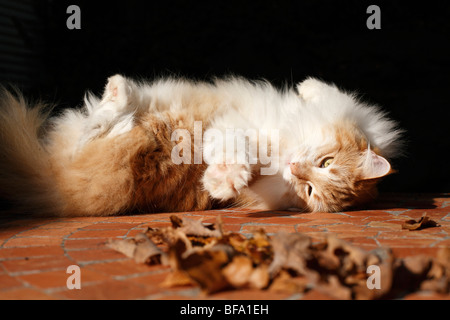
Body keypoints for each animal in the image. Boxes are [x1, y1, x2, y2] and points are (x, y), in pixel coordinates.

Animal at [0, 74, 402, 218]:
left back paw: (119, 90)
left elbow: (233, 153)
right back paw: (121, 87)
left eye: (308, 192)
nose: (294, 169)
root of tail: (58, 188)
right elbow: (331, 92)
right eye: (326, 162)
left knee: (100, 126)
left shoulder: (232, 137)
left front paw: (226, 182)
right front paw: (307, 86)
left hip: (140, 134)